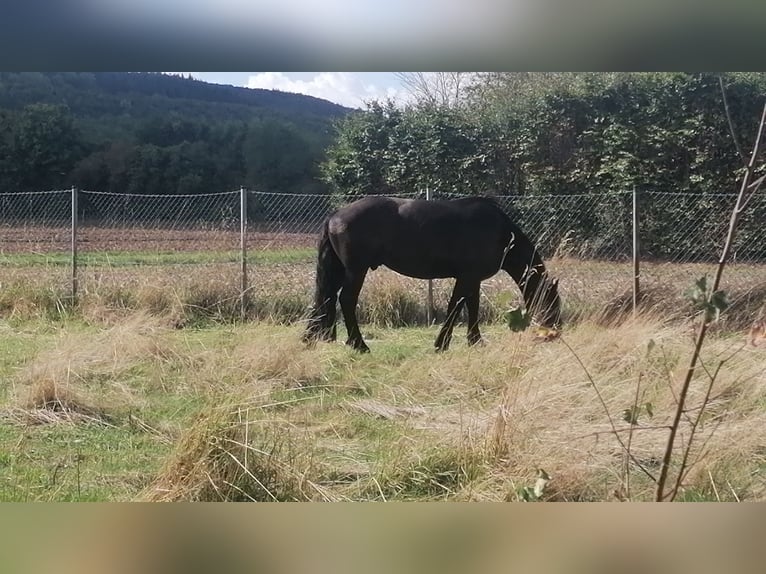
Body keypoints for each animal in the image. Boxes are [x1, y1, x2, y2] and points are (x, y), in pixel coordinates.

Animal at [303, 195, 561, 353]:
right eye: (552, 301)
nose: (554, 332)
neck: (501, 234)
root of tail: (335, 215)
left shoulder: (473, 279)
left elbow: (472, 307)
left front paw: (475, 341)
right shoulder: (467, 277)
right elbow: (456, 306)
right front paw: (442, 343)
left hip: (340, 270)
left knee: (327, 298)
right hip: (357, 270)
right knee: (346, 300)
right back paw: (359, 344)